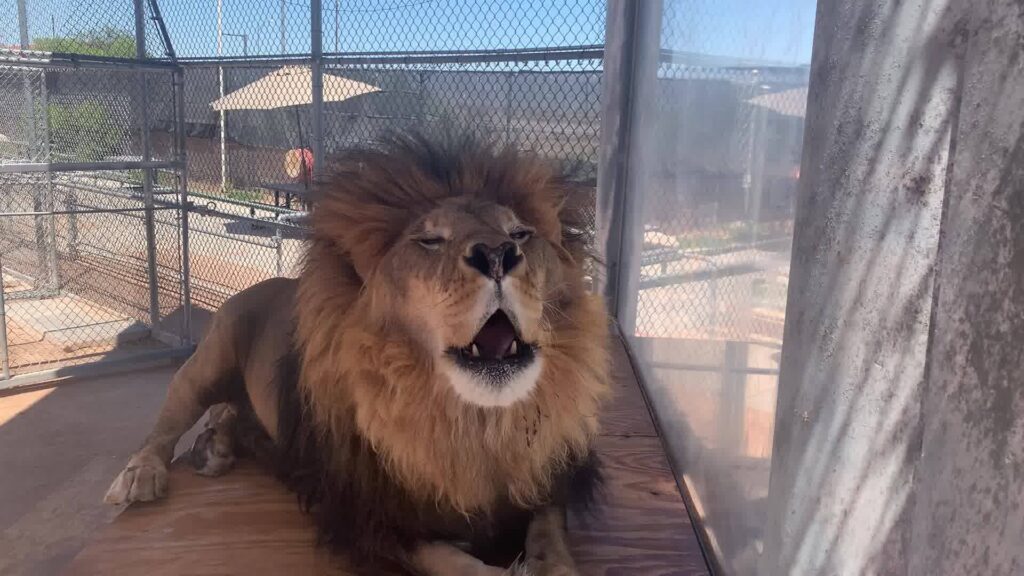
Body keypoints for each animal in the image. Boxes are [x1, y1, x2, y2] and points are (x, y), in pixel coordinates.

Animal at [104, 131, 611, 575]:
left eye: (521, 234)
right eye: (430, 240)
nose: (498, 254)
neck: (472, 421)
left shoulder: (546, 478)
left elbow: (550, 536)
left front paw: (551, 564)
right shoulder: (365, 514)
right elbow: (452, 562)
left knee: (227, 415)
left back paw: (215, 446)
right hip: (209, 361)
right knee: (168, 424)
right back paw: (143, 474)